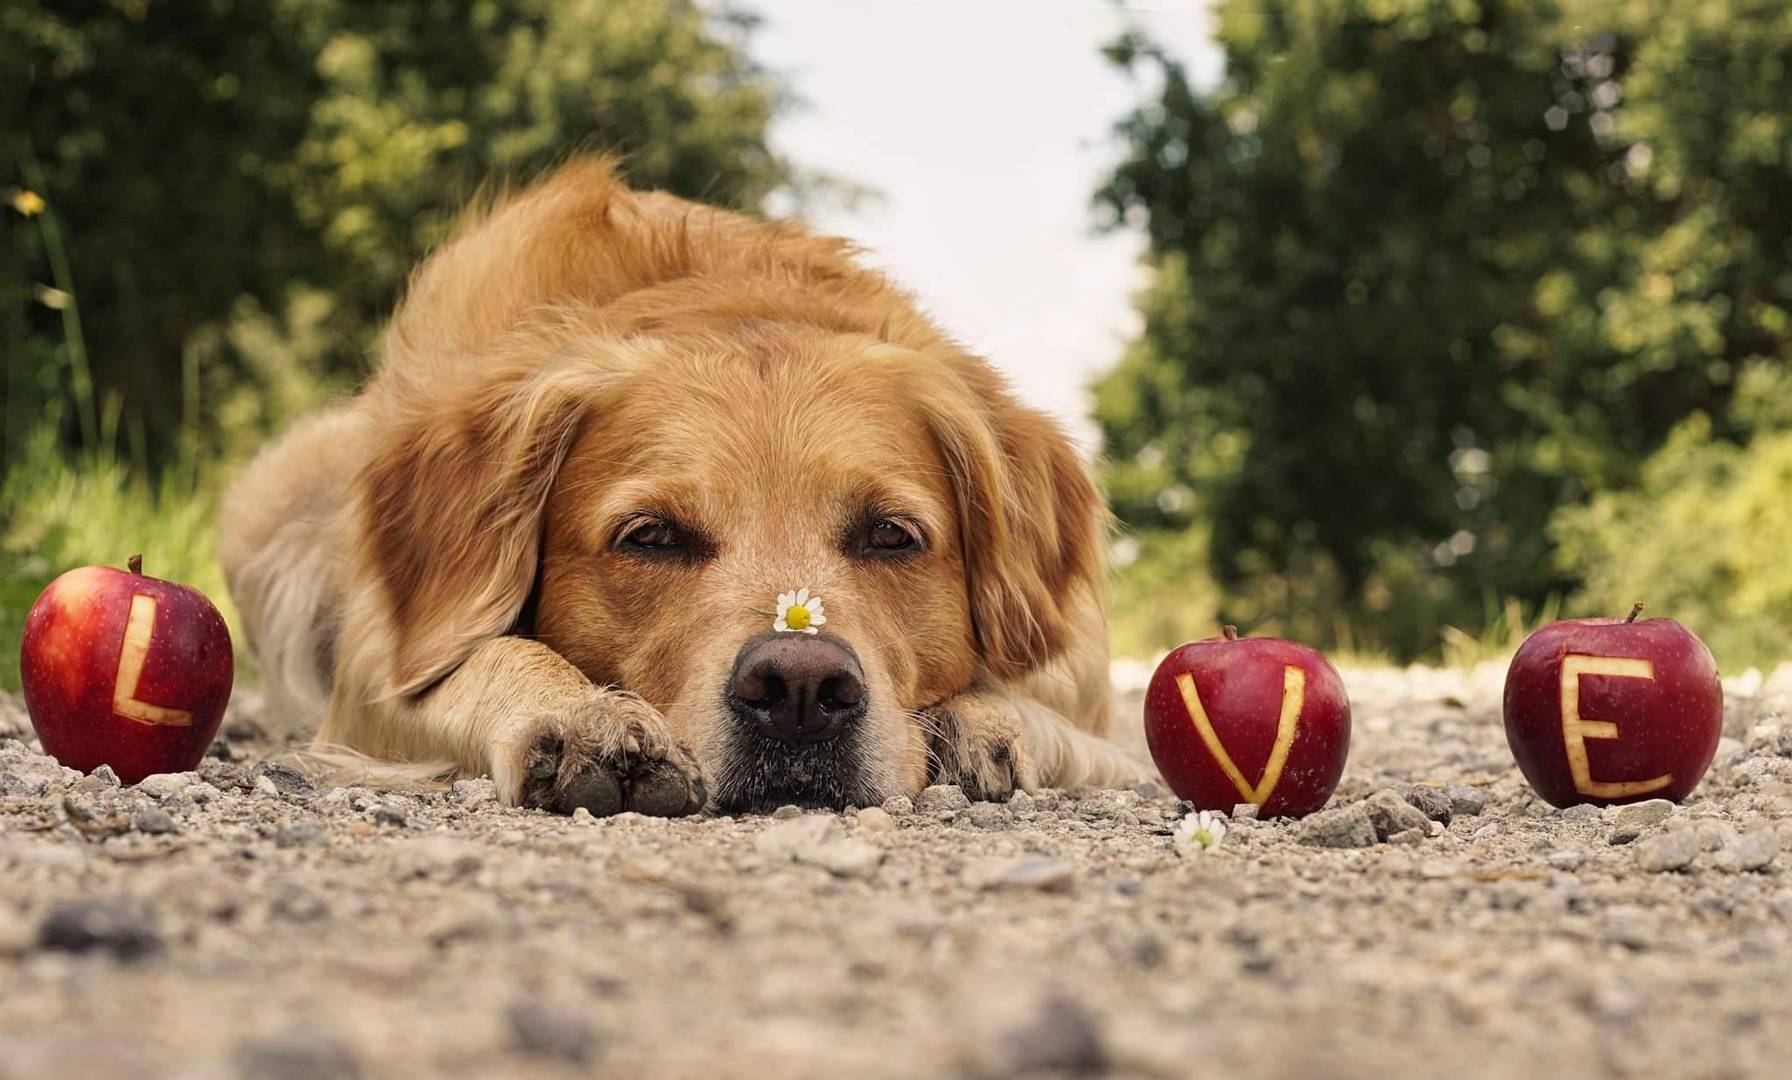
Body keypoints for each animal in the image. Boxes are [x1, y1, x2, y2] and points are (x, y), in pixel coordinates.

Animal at [216, 160, 1139, 816]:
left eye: (891, 535)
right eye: (651, 536)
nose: (800, 688)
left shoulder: (1084, 688)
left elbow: (1050, 716)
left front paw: (979, 720)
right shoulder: (377, 667)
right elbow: (487, 655)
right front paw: (582, 714)